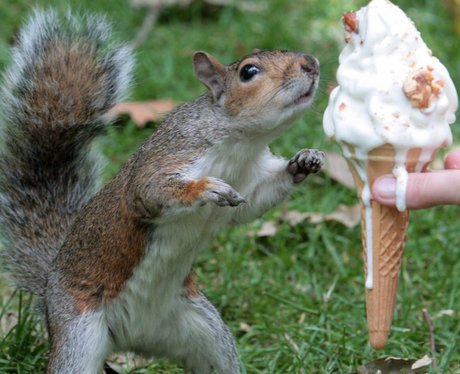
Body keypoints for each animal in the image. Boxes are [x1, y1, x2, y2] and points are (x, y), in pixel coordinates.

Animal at [0, 6, 324, 374]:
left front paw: (304, 161)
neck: (240, 146)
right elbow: (149, 192)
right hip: (77, 334)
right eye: (249, 71)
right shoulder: (168, 157)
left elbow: (251, 205)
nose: (311, 63)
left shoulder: (251, 180)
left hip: (204, 331)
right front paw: (205, 188)